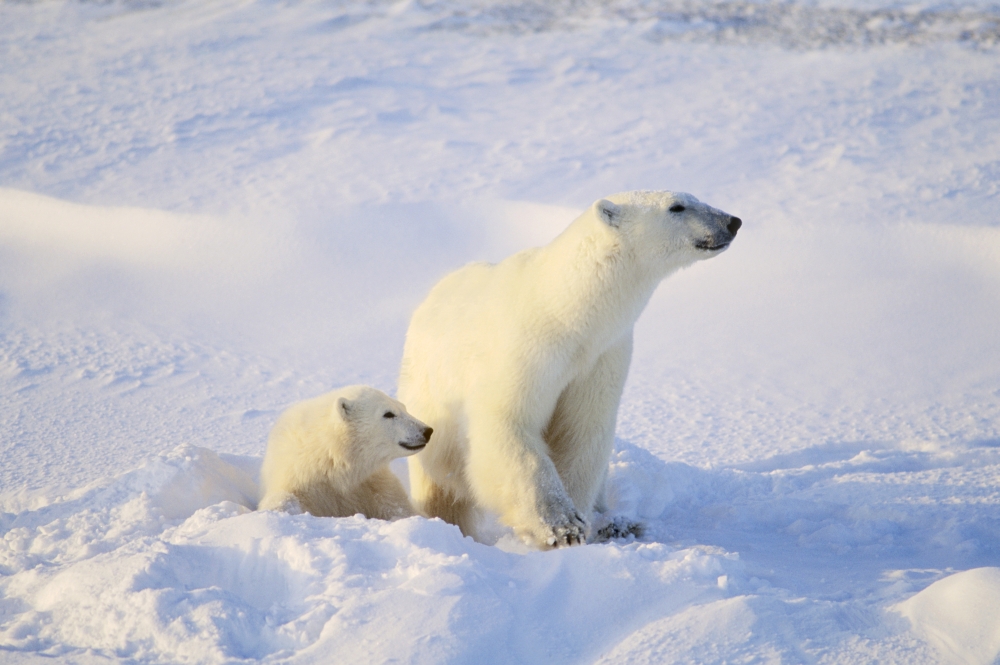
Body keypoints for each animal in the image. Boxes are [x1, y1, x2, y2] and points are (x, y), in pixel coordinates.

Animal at [257, 385, 433, 520]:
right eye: (388, 414)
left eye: (403, 407)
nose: (427, 431)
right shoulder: (301, 477)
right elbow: (286, 497)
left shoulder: (372, 483)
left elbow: (400, 507)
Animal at [397, 190, 741, 548]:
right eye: (677, 207)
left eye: (694, 197)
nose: (733, 222)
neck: (565, 312)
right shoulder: (524, 349)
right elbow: (509, 425)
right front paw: (561, 527)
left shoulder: (602, 355)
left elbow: (582, 432)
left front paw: (582, 521)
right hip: (429, 390)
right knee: (440, 480)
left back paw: (617, 523)